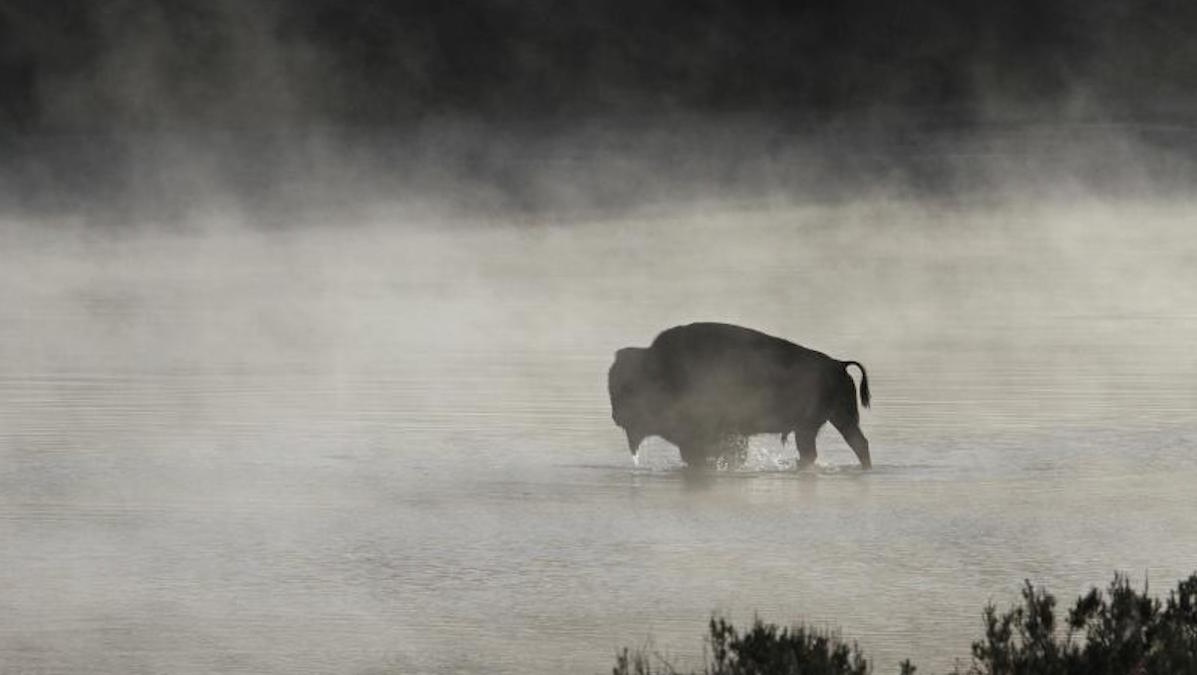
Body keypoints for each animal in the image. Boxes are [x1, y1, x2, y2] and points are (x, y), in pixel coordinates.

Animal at [608, 322, 871, 469]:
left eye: (627, 388)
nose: (617, 417)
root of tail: (838, 365)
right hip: (836, 420)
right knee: (856, 444)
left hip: (813, 426)